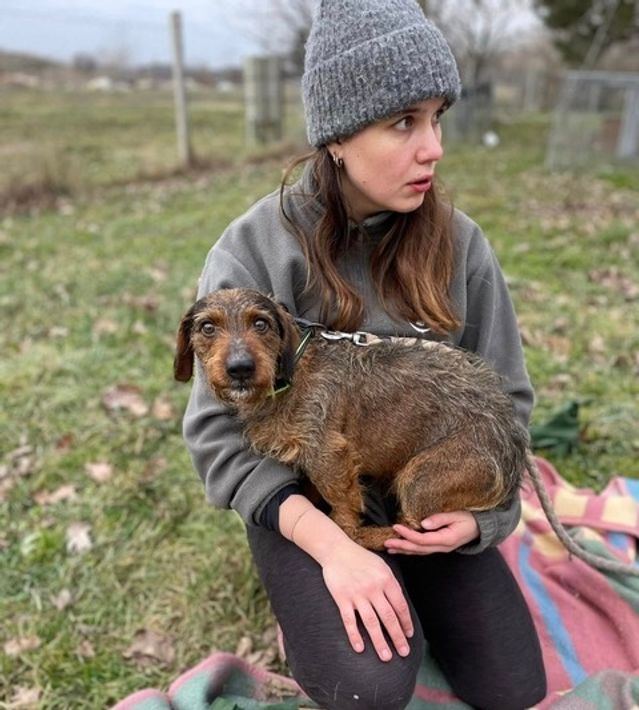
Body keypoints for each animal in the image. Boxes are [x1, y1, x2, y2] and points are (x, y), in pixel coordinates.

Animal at [174, 288, 528, 551]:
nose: (240, 368)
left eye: (260, 324)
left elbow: (343, 507)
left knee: (414, 530)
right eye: (208, 327)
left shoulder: (330, 455)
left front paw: (345, 533)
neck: (289, 374)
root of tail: (515, 448)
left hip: (420, 479)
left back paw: (377, 537)